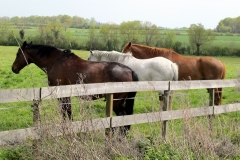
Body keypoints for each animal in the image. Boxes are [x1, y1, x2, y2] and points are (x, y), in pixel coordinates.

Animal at [11, 41, 139, 134]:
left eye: (18, 54)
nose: (13, 68)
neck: (55, 62)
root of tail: (130, 70)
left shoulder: (61, 95)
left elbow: (65, 112)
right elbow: (69, 112)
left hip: (117, 102)